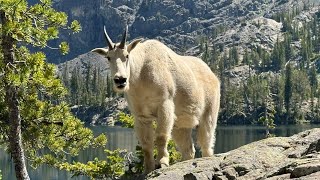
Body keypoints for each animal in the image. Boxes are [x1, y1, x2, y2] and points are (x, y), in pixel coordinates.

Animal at [91, 26, 219, 174]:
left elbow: (161, 136)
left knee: (206, 143)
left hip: (209, 113)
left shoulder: (164, 104)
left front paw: (162, 162)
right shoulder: (141, 116)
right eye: (108, 57)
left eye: (127, 55)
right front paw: (147, 169)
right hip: (181, 124)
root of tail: (213, 75)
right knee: (188, 149)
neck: (140, 75)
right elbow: (146, 143)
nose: (120, 80)